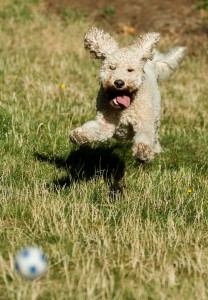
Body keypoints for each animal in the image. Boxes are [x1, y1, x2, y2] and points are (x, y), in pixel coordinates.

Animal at [69, 28, 185, 163]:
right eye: (112, 67)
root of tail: (150, 63)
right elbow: (95, 129)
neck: (124, 109)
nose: (119, 82)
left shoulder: (143, 121)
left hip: (155, 116)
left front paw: (143, 151)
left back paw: (155, 149)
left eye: (130, 70)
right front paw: (79, 135)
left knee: (154, 135)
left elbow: (145, 135)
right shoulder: (106, 124)